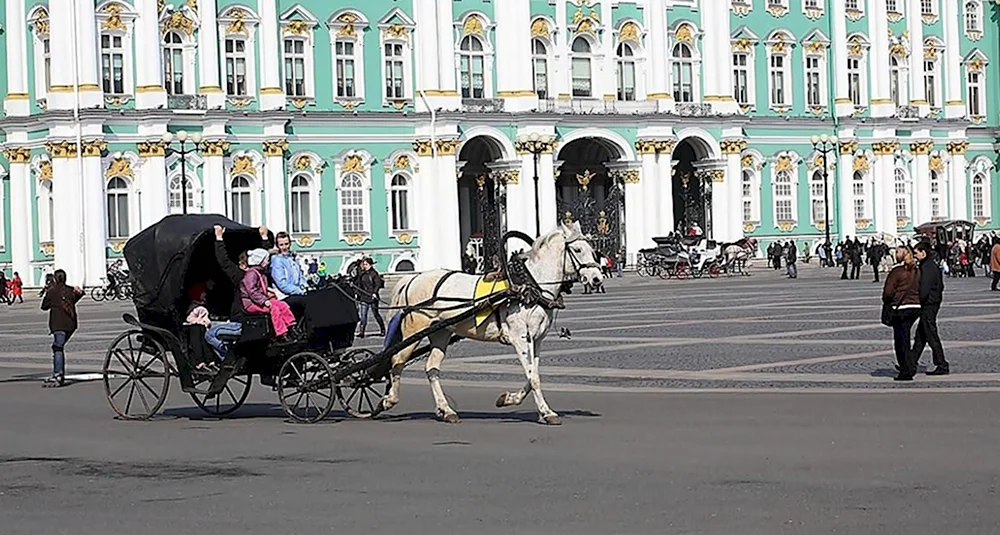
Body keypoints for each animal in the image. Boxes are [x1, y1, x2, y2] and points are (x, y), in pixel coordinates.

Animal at [380, 220, 600, 426]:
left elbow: (533, 375)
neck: (529, 285)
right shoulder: (520, 338)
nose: (596, 279)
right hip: (414, 331)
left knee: (431, 368)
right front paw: (547, 413)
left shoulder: (537, 339)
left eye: (592, 250)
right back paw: (388, 400)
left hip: (440, 333)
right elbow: (533, 377)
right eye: (578, 250)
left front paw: (508, 399)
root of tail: (412, 279)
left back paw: (446, 410)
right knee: (397, 361)